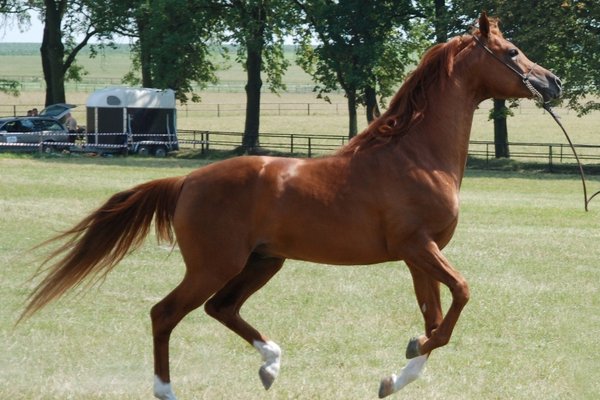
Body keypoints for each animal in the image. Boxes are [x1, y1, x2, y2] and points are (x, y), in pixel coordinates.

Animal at [19, 13, 564, 400]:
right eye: (512, 51)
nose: (553, 82)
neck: (415, 155)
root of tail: (187, 180)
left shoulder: (417, 257)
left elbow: (435, 319)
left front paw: (395, 375)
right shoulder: (420, 247)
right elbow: (460, 298)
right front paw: (409, 354)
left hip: (264, 261)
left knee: (220, 308)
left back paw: (271, 365)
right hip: (216, 264)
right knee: (165, 313)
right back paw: (169, 390)